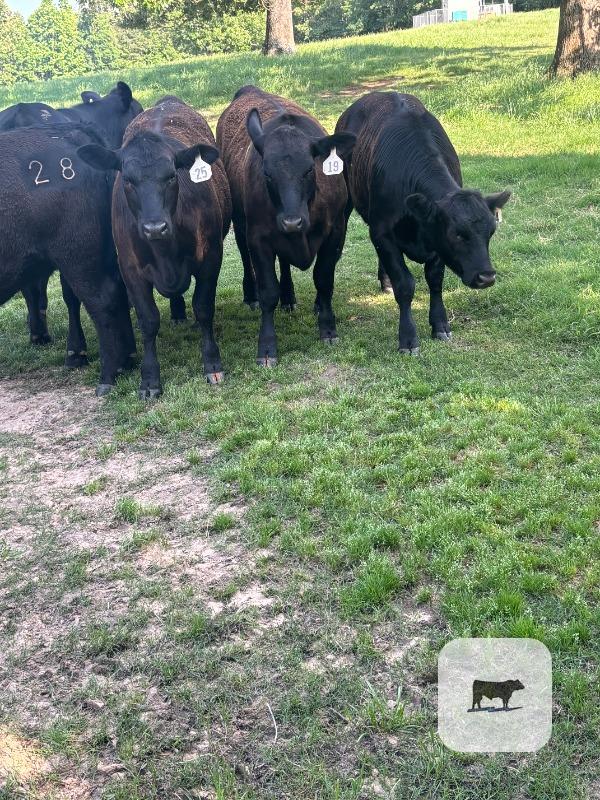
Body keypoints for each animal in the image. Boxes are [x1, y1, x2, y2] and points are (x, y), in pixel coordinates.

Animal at [78, 96, 232, 399]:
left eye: (171, 176)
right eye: (127, 180)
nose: (154, 228)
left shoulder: (211, 259)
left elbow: (204, 308)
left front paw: (212, 364)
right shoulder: (130, 270)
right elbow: (148, 321)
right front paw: (149, 380)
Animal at [216, 86, 356, 367]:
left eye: (309, 170)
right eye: (267, 173)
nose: (292, 222)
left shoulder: (335, 232)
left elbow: (324, 280)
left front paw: (328, 329)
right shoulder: (259, 238)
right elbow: (268, 292)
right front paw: (267, 348)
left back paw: (290, 297)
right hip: (240, 222)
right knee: (246, 256)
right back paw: (251, 296)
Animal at [336, 92, 510, 353]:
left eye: (491, 232)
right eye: (457, 234)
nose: (486, 277)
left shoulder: (435, 242)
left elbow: (435, 279)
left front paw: (440, 324)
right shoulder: (383, 233)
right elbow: (405, 285)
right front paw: (408, 338)